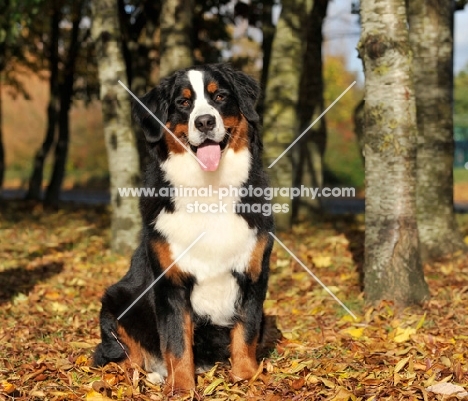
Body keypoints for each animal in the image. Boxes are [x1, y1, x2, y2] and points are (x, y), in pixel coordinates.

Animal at [92, 64, 274, 392]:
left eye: (220, 96)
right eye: (183, 102)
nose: (204, 122)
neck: (209, 187)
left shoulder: (253, 274)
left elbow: (246, 330)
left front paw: (245, 377)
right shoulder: (170, 283)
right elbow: (176, 341)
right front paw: (181, 388)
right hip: (117, 301)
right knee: (120, 358)